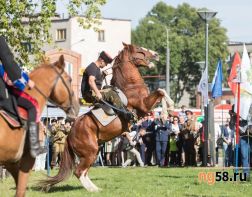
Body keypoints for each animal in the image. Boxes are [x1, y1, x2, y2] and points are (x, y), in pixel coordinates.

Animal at [39, 43, 167, 192]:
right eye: (139, 49)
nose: (156, 54)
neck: (130, 86)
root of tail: (69, 135)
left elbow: (162, 91)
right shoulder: (144, 106)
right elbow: (161, 91)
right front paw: (166, 111)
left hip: (93, 153)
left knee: (83, 171)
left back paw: (96, 188)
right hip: (90, 152)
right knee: (79, 171)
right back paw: (93, 190)